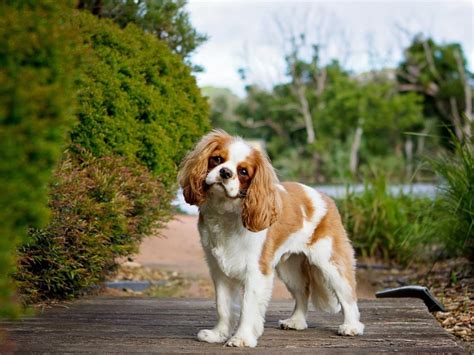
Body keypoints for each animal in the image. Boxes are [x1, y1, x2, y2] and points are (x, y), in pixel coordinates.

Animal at [178, 130, 362, 348]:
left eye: (243, 172)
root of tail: (324, 196)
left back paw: (352, 326)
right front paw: (219, 334)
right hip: (290, 269)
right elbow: (223, 306)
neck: (226, 212)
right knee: (303, 292)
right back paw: (296, 321)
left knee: (347, 295)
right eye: (217, 159)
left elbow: (248, 308)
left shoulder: (256, 271)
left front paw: (242, 338)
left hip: (330, 262)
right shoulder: (219, 271)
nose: (225, 172)